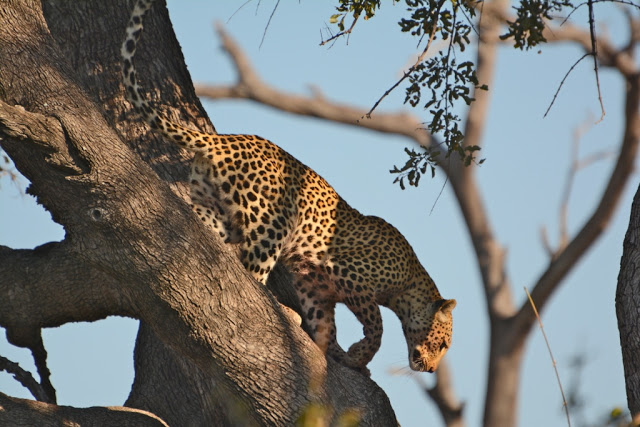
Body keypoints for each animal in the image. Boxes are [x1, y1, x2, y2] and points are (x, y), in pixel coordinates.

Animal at [121, 0, 456, 374]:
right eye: (442, 343)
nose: (431, 369)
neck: (409, 282)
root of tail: (221, 140)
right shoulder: (350, 274)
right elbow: (377, 324)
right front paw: (360, 353)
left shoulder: (316, 286)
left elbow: (325, 323)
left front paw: (339, 353)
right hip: (272, 223)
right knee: (252, 276)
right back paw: (283, 311)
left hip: (220, 211)